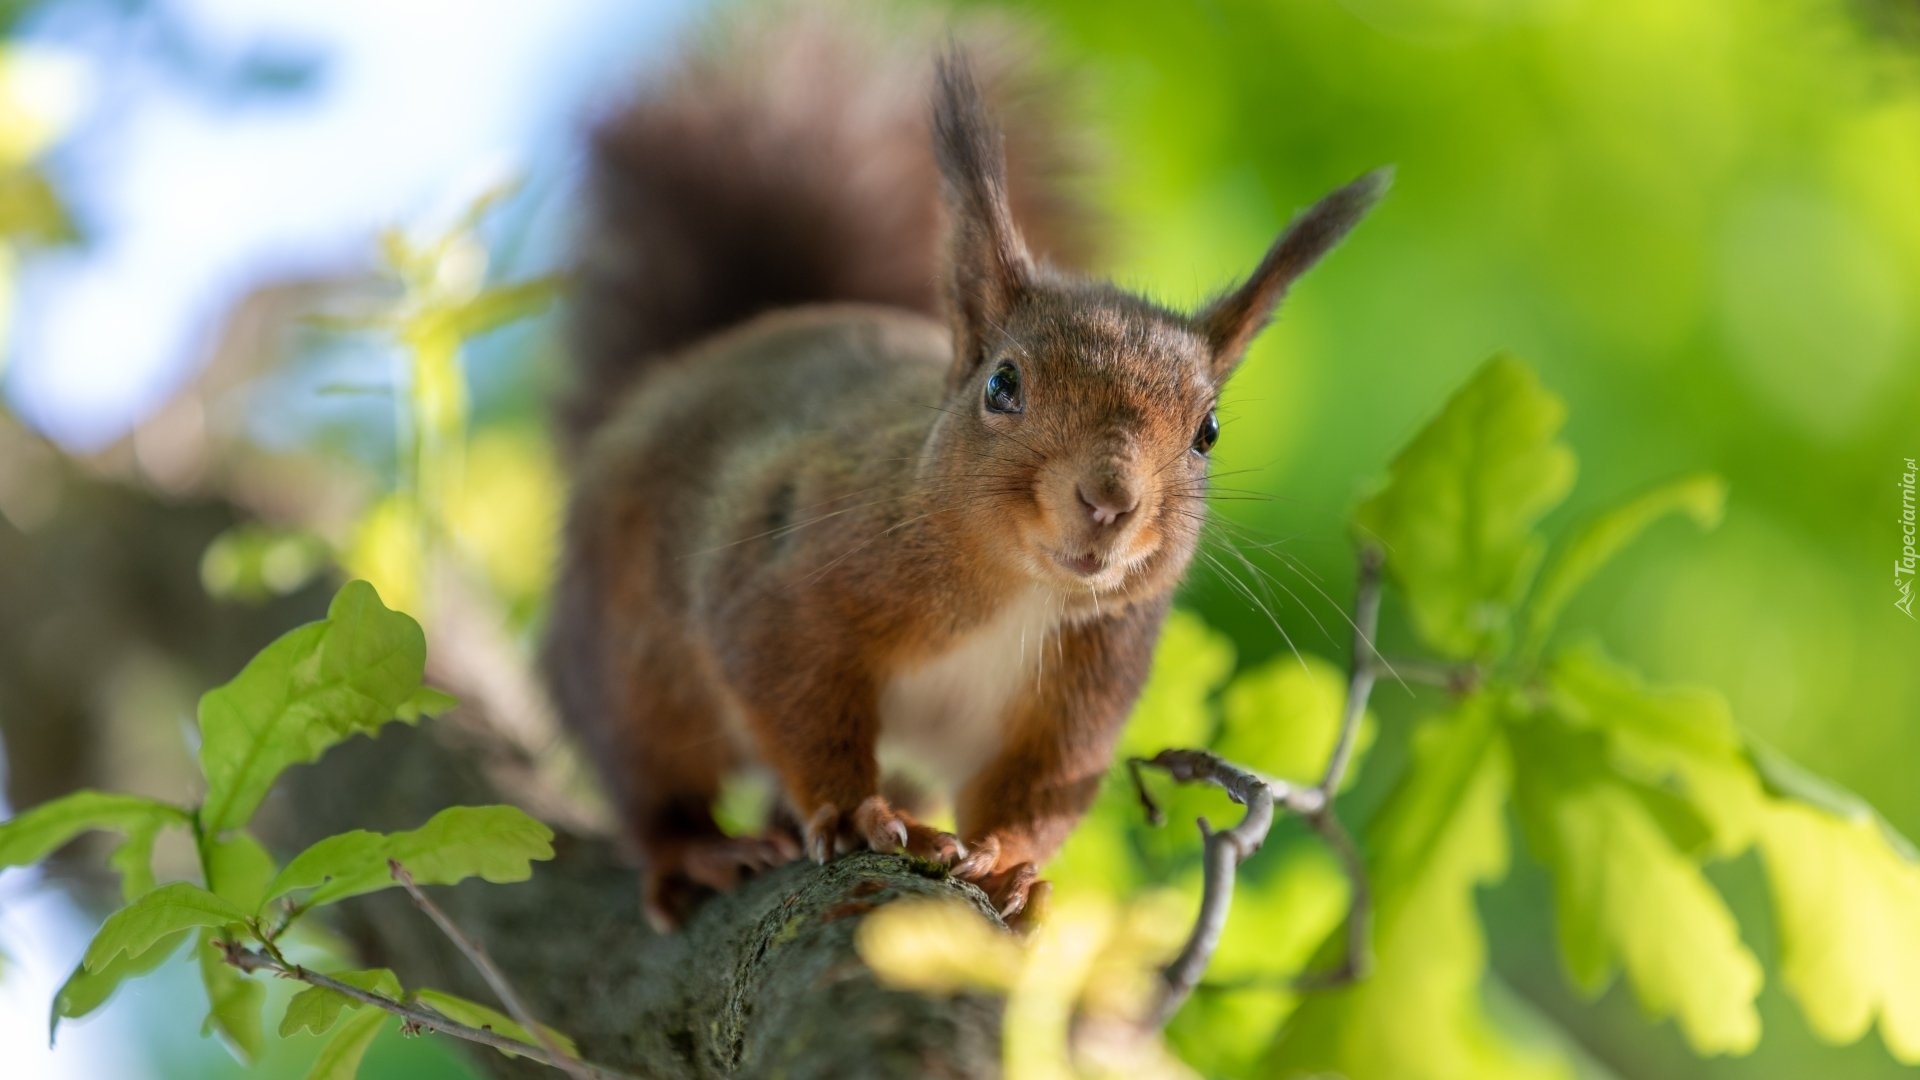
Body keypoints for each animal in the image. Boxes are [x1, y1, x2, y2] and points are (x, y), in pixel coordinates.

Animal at [541, 8, 1382, 930]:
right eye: (1002, 385)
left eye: (1209, 432)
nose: (1109, 500)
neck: (1019, 592)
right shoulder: (787, 580)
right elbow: (796, 697)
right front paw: (858, 812)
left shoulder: (1082, 689)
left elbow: (1036, 789)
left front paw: (1010, 864)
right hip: (625, 655)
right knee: (647, 774)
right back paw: (696, 849)